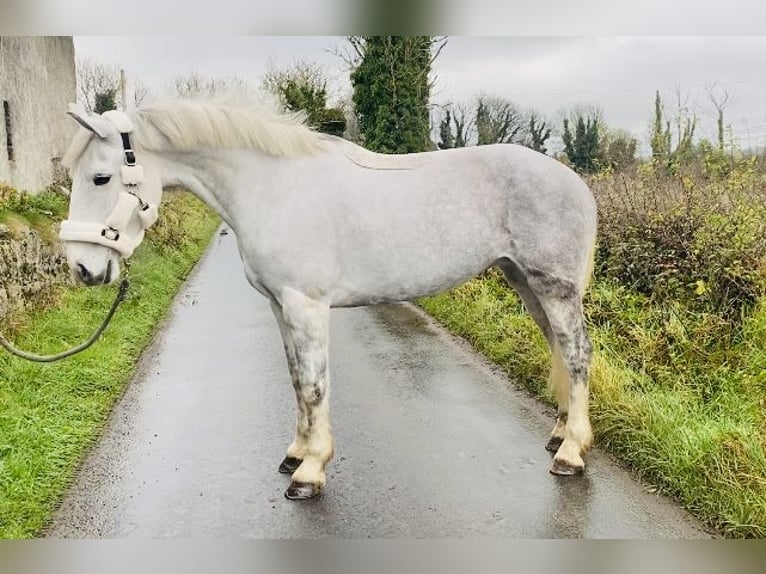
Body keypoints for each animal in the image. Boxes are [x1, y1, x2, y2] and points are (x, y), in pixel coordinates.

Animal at [60, 101, 600, 502]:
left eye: (100, 178)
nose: (84, 268)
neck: (273, 187)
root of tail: (576, 182)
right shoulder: (280, 307)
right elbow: (297, 380)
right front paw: (295, 454)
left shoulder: (306, 306)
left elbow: (316, 385)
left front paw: (310, 471)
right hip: (525, 283)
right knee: (559, 350)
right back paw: (558, 434)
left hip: (553, 287)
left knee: (577, 356)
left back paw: (571, 454)